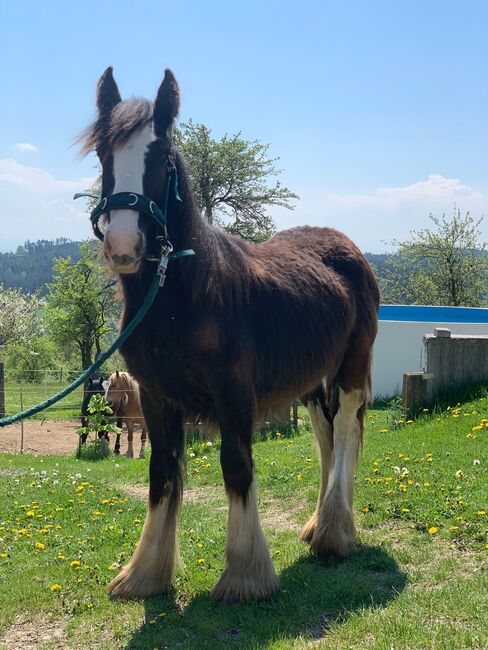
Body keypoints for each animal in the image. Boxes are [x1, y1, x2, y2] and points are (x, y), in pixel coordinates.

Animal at [78, 67, 380, 604]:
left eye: (161, 156)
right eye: (103, 155)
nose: (123, 245)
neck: (183, 298)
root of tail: (349, 248)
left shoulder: (234, 394)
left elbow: (237, 467)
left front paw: (246, 575)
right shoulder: (155, 397)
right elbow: (162, 473)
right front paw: (144, 574)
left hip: (351, 366)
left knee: (344, 429)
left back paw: (335, 532)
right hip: (309, 381)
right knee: (323, 434)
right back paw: (317, 525)